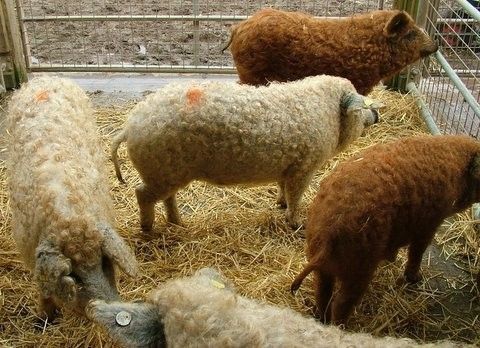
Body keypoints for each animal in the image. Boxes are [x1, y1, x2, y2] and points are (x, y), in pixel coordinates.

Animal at [113, 75, 382, 231]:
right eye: (362, 106)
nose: (377, 114)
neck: (329, 116)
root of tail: (129, 126)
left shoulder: (288, 166)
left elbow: (283, 188)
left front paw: (280, 204)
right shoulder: (304, 166)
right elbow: (296, 196)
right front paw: (297, 224)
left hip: (168, 174)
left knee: (167, 198)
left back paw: (178, 223)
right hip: (160, 172)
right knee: (141, 194)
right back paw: (148, 230)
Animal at [290, 135, 480, 324]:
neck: (458, 171)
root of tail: (328, 234)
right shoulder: (429, 224)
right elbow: (417, 252)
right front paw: (415, 279)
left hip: (322, 263)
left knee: (323, 294)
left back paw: (323, 320)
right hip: (359, 267)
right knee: (341, 303)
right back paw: (342, 326)